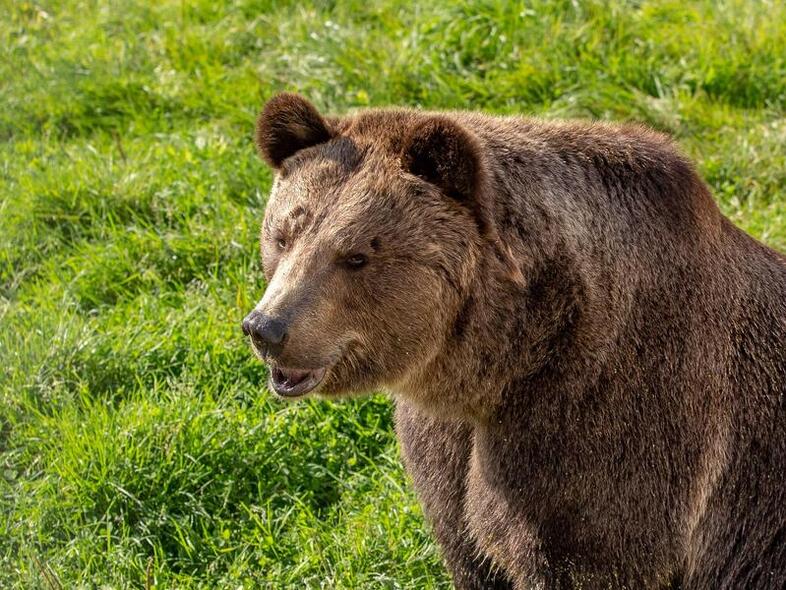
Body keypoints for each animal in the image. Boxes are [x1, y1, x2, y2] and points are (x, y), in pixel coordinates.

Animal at [242, 93, 786, 589]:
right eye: (284, 234)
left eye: (355, 255)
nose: (266, 327)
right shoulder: (449, 450)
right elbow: (466, 541)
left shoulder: (614, 425)